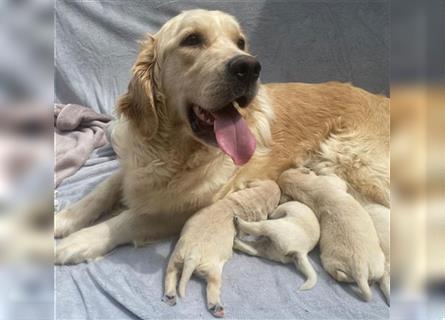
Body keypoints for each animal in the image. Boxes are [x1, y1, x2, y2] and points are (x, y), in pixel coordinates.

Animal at [55, 10, 388, 264]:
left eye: (240, 42)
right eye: (192, 39)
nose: (249, 66)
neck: (172, 149)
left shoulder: (187, 207)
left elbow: (129, 218)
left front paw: (81, 240)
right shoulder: (131, 168)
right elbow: (101, 190)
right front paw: (65, 219)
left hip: (352, 160)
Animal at [163, 180, 280, 318]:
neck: (249, 200)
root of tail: (193, 253)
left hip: (176, 256)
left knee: (171, 273)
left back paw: (170, 296)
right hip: (213, 270)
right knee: (212, 286)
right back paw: (216, 307)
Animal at [280, 168, 384, 302]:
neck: (303, 187)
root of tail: (360, 271)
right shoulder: (332, 182)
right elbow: (338, 180)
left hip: (377, 267)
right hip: (333, 262)